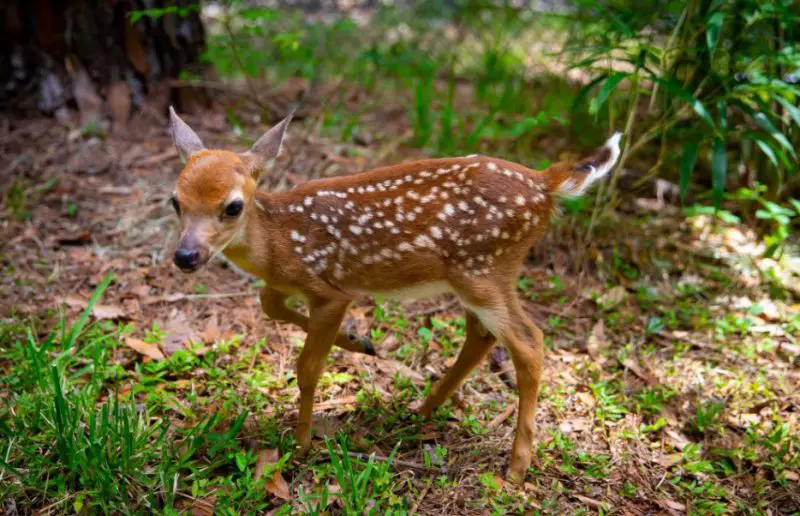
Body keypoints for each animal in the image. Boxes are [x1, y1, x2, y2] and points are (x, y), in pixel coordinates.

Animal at [167, 107, 622, 483]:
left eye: (233, 206)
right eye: (175, 201)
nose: (185, 256)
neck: (278, 244)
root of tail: (546, 183)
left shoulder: (330, 290)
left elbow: (307, 368)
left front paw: (301, 444)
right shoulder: (292, 286)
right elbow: (269, 304)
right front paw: (359, 341)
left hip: (483, 269)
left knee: (528, 342)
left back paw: (516, 466)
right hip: (478, 275)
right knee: (482, 336)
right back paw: (423, 409)